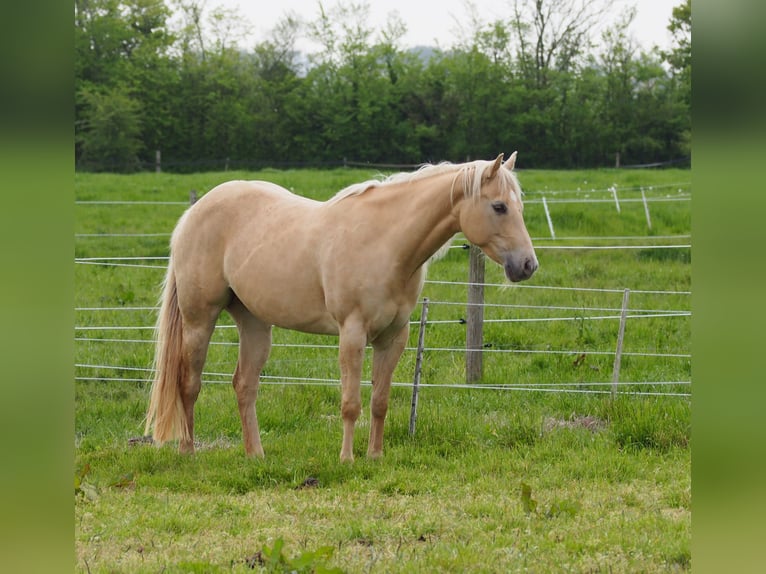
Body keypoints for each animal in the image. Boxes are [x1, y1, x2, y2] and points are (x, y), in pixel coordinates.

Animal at [146, 153, 540, 464]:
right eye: (499, 206)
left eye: (520, 207)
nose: (527, 265)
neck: (386, 243)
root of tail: (194, 212)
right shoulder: (352, 333)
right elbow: (351, 402)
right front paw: (347, 459)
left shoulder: (394, 337)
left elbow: (380, 401)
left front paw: (375, 456)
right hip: (200, 319)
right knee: (189, 383)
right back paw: (188, 451)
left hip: (254, 323)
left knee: (244, 385)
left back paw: (255, 455)